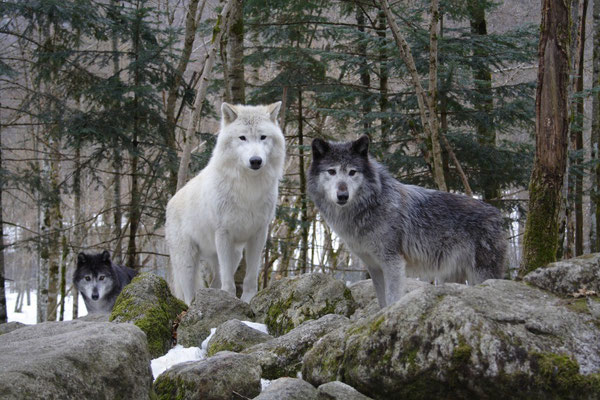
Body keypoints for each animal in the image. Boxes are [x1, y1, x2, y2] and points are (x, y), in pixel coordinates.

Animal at [165, 101, 284, 304]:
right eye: (242, 138)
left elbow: (251, 277)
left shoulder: (258, 234)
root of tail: (171, 201)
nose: (255, 161)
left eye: (263, 137)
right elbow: (228, 282)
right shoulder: (223, 234)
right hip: (188, 262)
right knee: (188, 294)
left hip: (233, 255)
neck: (248, 187)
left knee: (214, 283)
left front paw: (247, 300)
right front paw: (230, 300)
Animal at [310, 136, 506, 308]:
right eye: (332, 171)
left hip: (480, 274)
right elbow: (382, 301)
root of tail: (497, 213)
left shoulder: (393, 262)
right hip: (450, 277)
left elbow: (392, 298)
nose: (343, 195)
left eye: (352, 172)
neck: (370, 206)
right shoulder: (374, 267)